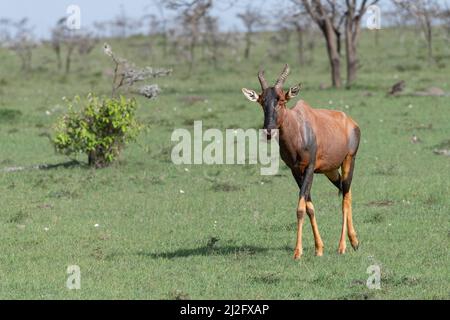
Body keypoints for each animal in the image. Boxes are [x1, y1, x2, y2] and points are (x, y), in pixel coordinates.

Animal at [241, 63, 360, 258]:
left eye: (282, 100)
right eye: (262, 101)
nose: (268, 131)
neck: (298, 129)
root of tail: (350, 122)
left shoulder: (309, 168)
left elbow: (300, 208)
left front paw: (298, 252)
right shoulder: (296, 171)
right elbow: (309, 207)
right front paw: (318, 248)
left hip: (349, 161)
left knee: (346, 198)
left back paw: (343, 246)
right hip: (331, 171)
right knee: (344, 191)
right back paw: (354, 241)